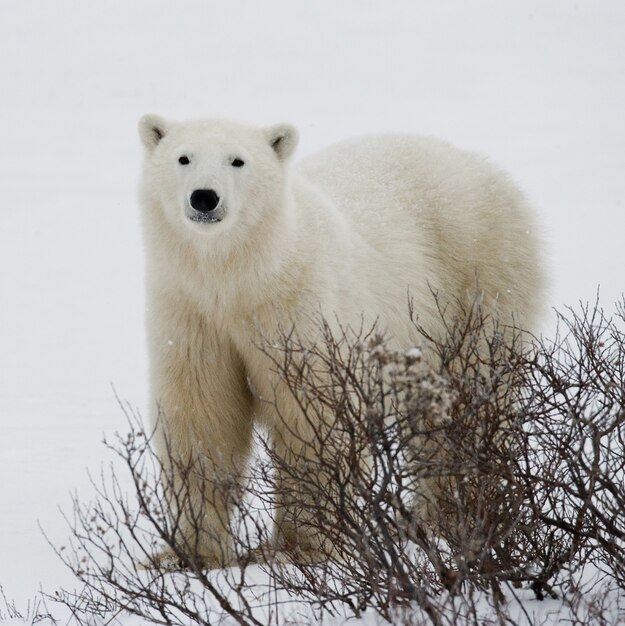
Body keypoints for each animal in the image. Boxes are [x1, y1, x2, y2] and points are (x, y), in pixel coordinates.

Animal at [138, 114, 544, 568]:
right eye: (183, 158)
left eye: (238, 161)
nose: (204, 198)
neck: (241, 280)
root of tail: (485, 167)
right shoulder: (191, 316)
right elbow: (202, 419)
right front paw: (187, 555)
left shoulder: (298, 312)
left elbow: (314, 418)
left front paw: (301, 549)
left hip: (479, 280)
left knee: (467, 399)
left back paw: (448, 517)